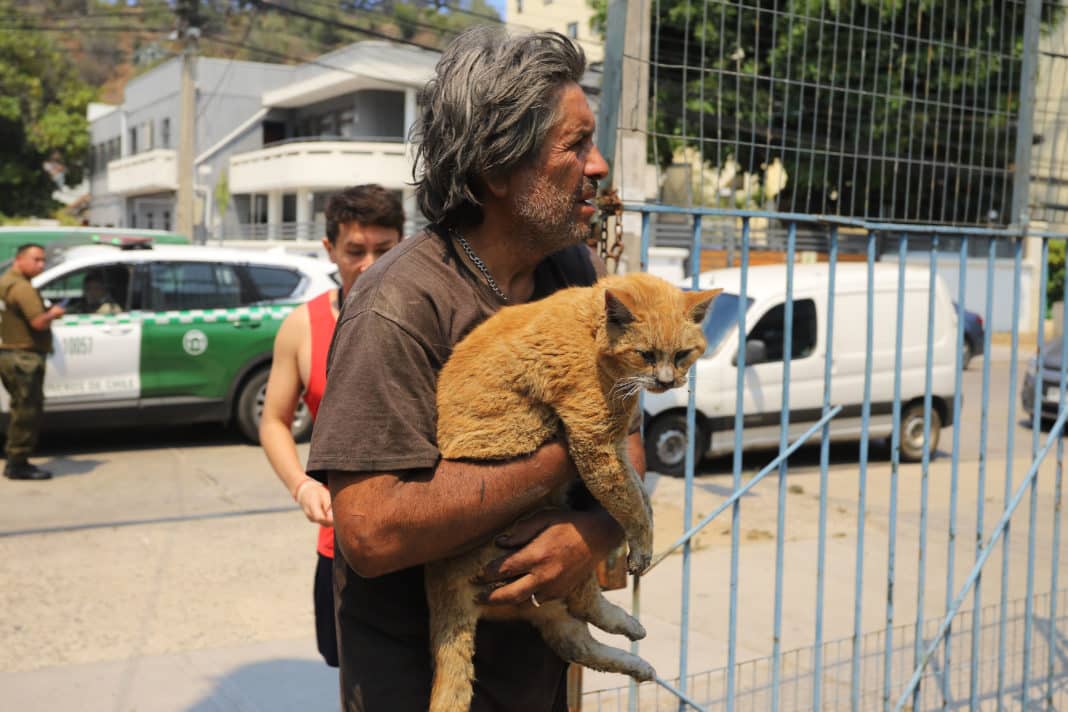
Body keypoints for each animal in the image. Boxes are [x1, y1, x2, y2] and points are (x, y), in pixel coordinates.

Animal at [425, 270, 717, 708]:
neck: (592, 328)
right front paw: (642, 545)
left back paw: (636, 654)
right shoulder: (594, 440)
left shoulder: (616, 443)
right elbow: (627, 501)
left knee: (578, 642)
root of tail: (439, 581)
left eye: (682, 354)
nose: (667, 381)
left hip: (546, 609)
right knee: (583, 602)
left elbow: (638, 491)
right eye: (646, 354)